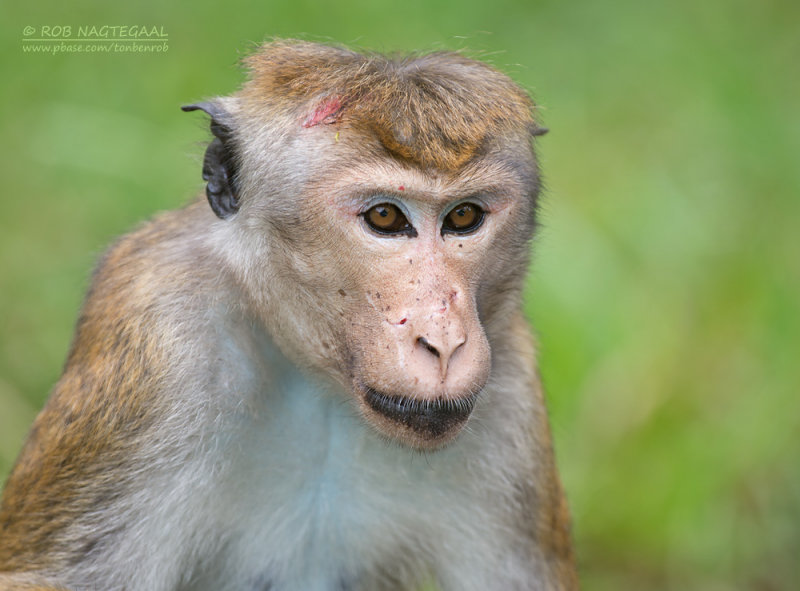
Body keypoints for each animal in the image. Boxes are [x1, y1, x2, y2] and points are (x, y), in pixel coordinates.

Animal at [0, 39, 576, 588]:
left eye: (463, 216)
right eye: (385, 217)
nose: (444, 342)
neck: (324, 385)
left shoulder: (509, 387)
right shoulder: (158, 337)